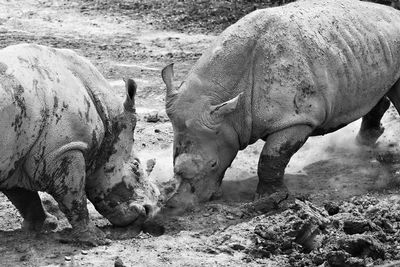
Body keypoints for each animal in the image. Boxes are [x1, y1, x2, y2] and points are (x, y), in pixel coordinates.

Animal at [161, 0, 400, 213]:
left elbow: (271, 157)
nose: (180, 206)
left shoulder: (296, 119)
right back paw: (365, 141)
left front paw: (269, 199)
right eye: (173, 159)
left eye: (213, 164)